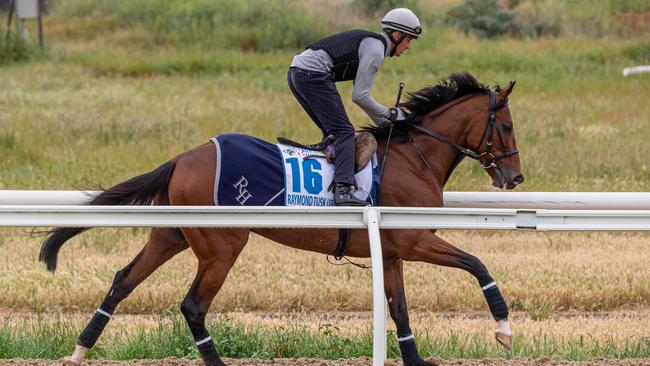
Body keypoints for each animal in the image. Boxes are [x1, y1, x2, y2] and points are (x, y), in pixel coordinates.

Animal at [41, 72, 520, 366]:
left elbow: (399, 308)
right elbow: (478, 265)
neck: (412, 157)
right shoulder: (415, 239)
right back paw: (215, 360)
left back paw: (79, 350)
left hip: (173, 233)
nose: (515, 177)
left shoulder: (393, 251)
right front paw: (503, 330)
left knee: (124, 280)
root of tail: (182, 157)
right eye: (508, 126)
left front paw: (416, 359)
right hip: (222, 245)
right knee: (193, 304)